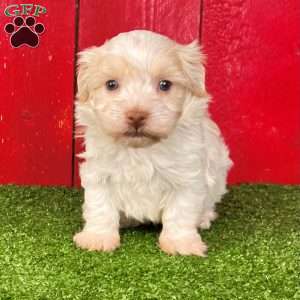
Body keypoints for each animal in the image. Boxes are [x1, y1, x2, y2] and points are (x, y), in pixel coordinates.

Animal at [72, 29, 232, 255]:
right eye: (111, 84)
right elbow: (100, 206)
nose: (136, 116)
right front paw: (98, 237)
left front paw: (180, 243)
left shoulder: (188, 177)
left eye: (165, 85)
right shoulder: (99, 173)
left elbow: (181, 211)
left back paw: (204, 217)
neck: (141, 149)